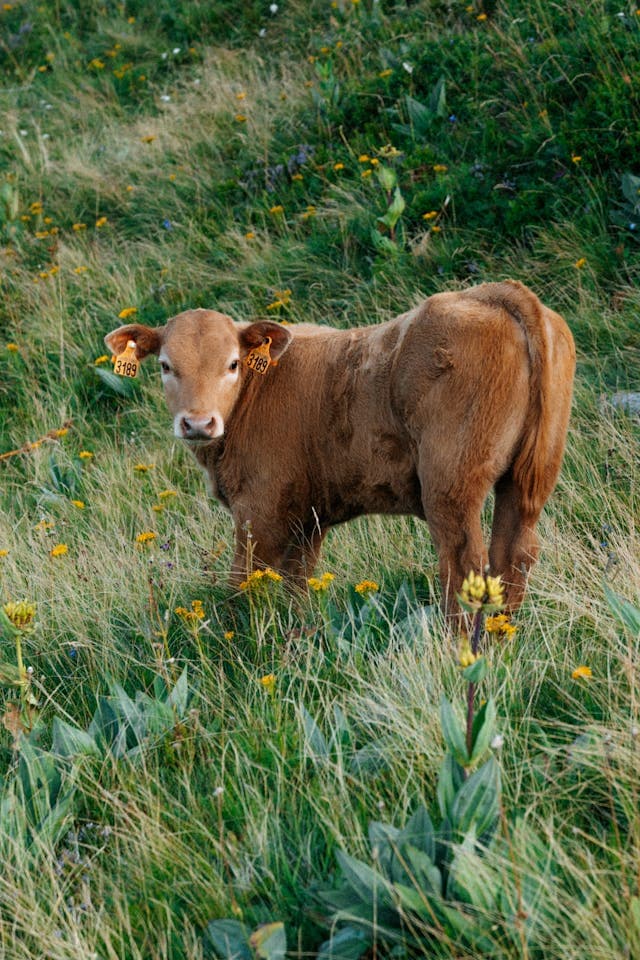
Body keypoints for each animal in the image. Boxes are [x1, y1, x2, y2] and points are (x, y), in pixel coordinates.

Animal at [105, 280, 575, 615]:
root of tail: (494, 294)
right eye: (166, 366)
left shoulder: (260, 509)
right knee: (515, 552)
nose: (199, 423)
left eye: (233, 364)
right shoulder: (307, 519)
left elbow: (244, 585)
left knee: (464, 564)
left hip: (450, 481)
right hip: (530, 477)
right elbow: (296, 587)